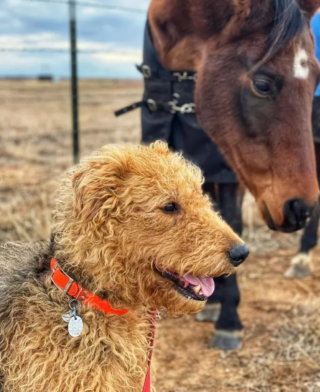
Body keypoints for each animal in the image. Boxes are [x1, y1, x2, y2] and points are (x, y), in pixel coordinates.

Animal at [142, 0, 320, 350]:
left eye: (317, 80)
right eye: (262, 84)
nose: (297, 208)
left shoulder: (229, 169)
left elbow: (231, 223)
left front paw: (228, 321)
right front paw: (209, 299)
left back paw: (302, 259)